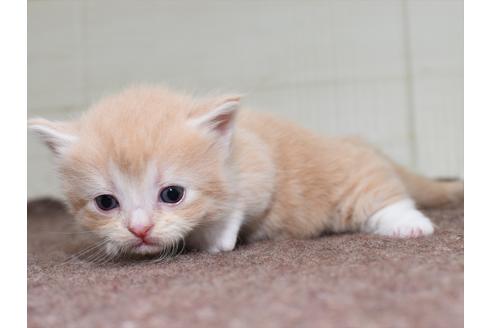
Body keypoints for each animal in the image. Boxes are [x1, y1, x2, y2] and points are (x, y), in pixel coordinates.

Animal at [28, 86, 464, 258]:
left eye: (172, 194)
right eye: (106, 202)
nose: (139, 230)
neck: (232, 148)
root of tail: (354, 142)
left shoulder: (259, 163)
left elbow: (239, 203)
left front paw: (217, 237)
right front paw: (116, 245)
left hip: (348, 179)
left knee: (380, 193)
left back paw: (408, 224)